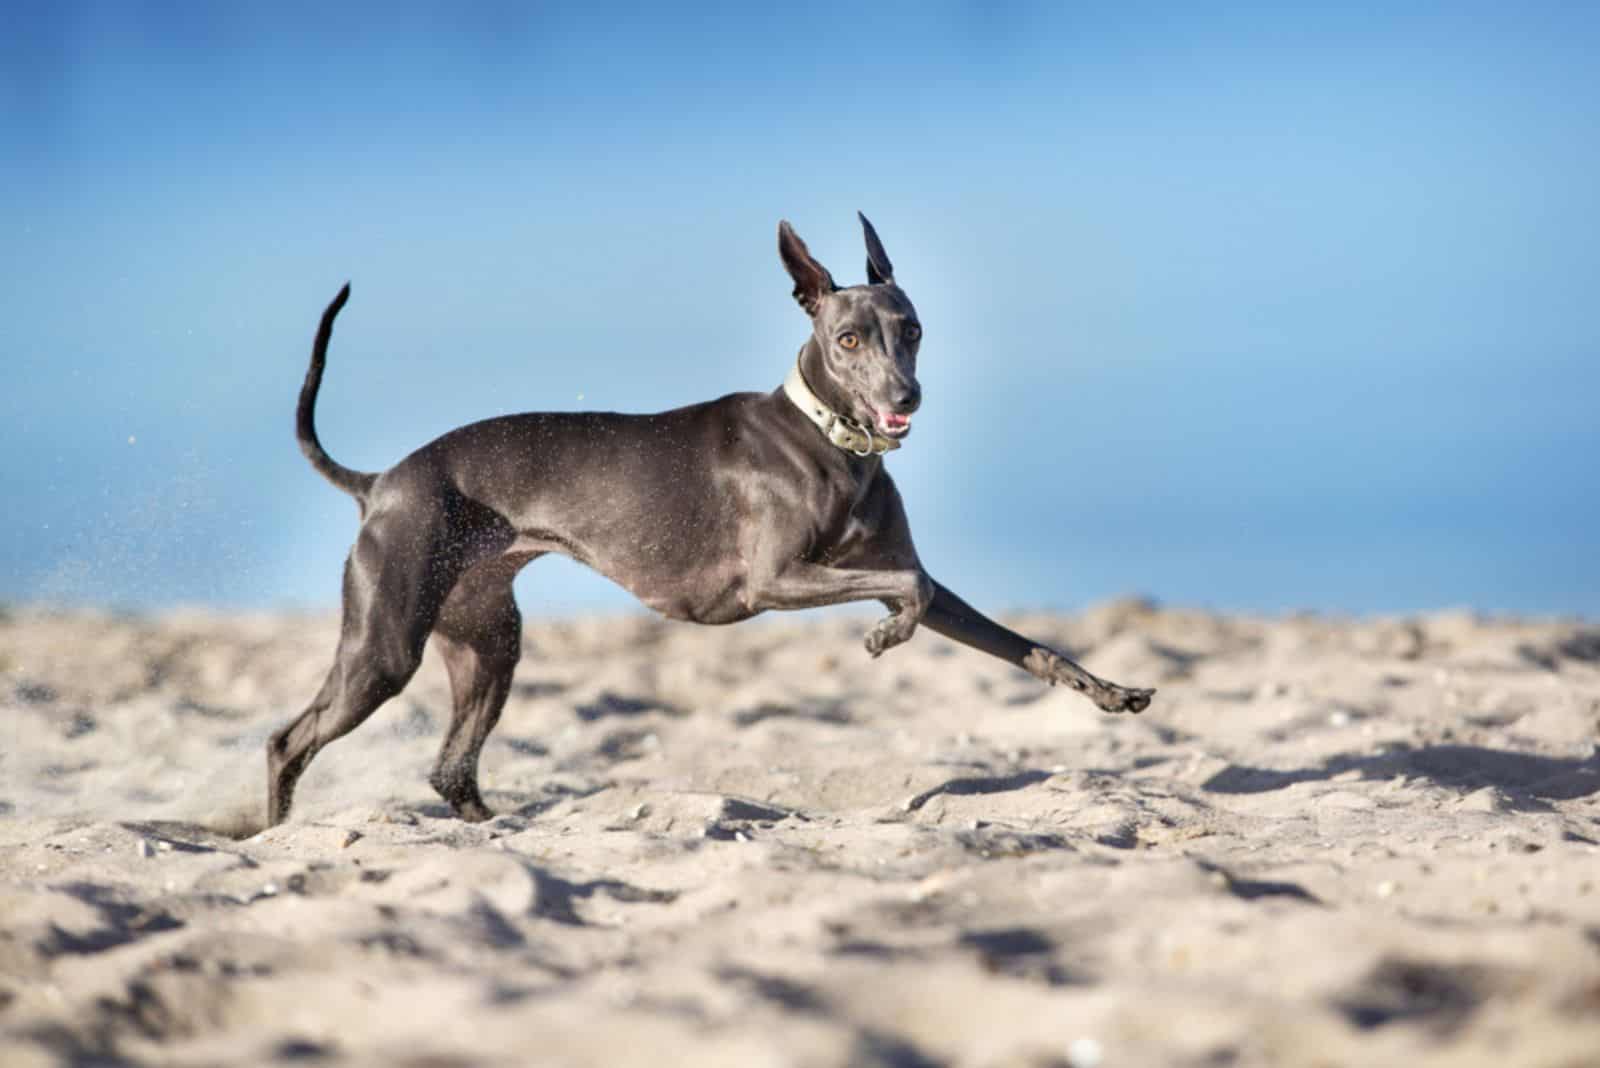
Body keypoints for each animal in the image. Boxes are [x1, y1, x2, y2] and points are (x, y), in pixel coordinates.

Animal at [272, 212, 1152, 824]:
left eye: (912, 329)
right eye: (847, 338)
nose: (906, 398)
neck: (827, 439)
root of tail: (381, 481)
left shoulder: (894, 575)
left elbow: (1014, 638)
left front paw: (1109, 693)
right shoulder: (774, 580)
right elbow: (910, 587)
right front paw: (883, 636)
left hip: (488, 640)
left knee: (449, 768)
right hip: (386, 644)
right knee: (290, 740)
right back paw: (273, 831)